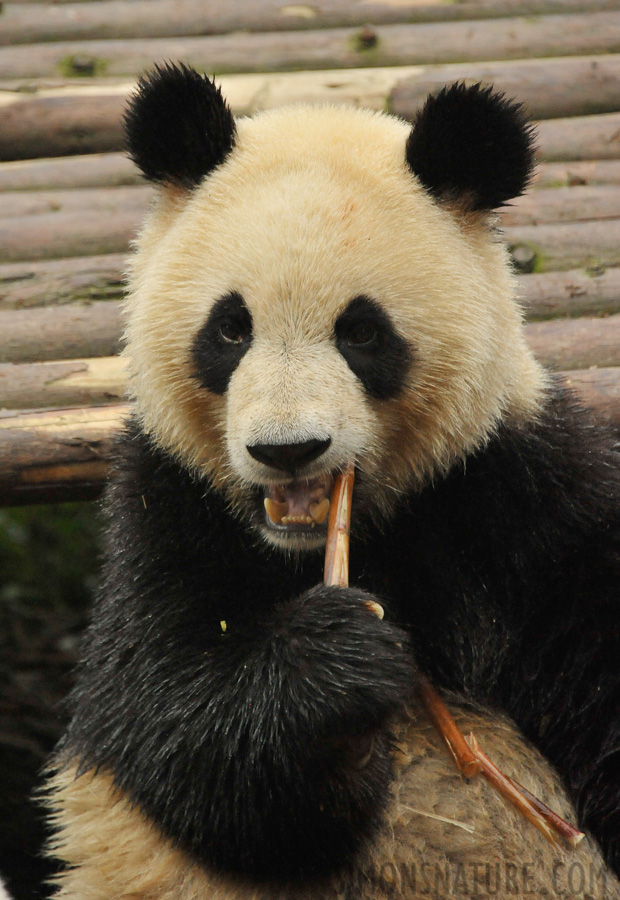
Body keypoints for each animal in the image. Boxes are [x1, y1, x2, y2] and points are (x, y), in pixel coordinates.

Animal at [46, 65, 620, 900]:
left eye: (362, 332)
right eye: (231, 328)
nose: (289, 450)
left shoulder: (521, 497)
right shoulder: (164, 508)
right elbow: (171, 724)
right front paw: (341, 660)